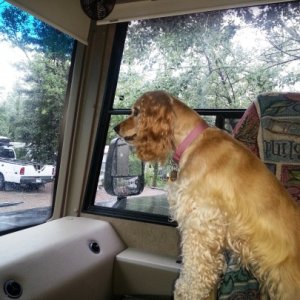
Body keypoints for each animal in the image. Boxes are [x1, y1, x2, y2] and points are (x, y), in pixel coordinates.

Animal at [113, 90, 300, 298]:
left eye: (136, 112)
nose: (116, 127)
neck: (193, 141)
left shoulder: (201, 223)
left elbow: (195, 272)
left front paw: (185, 291)